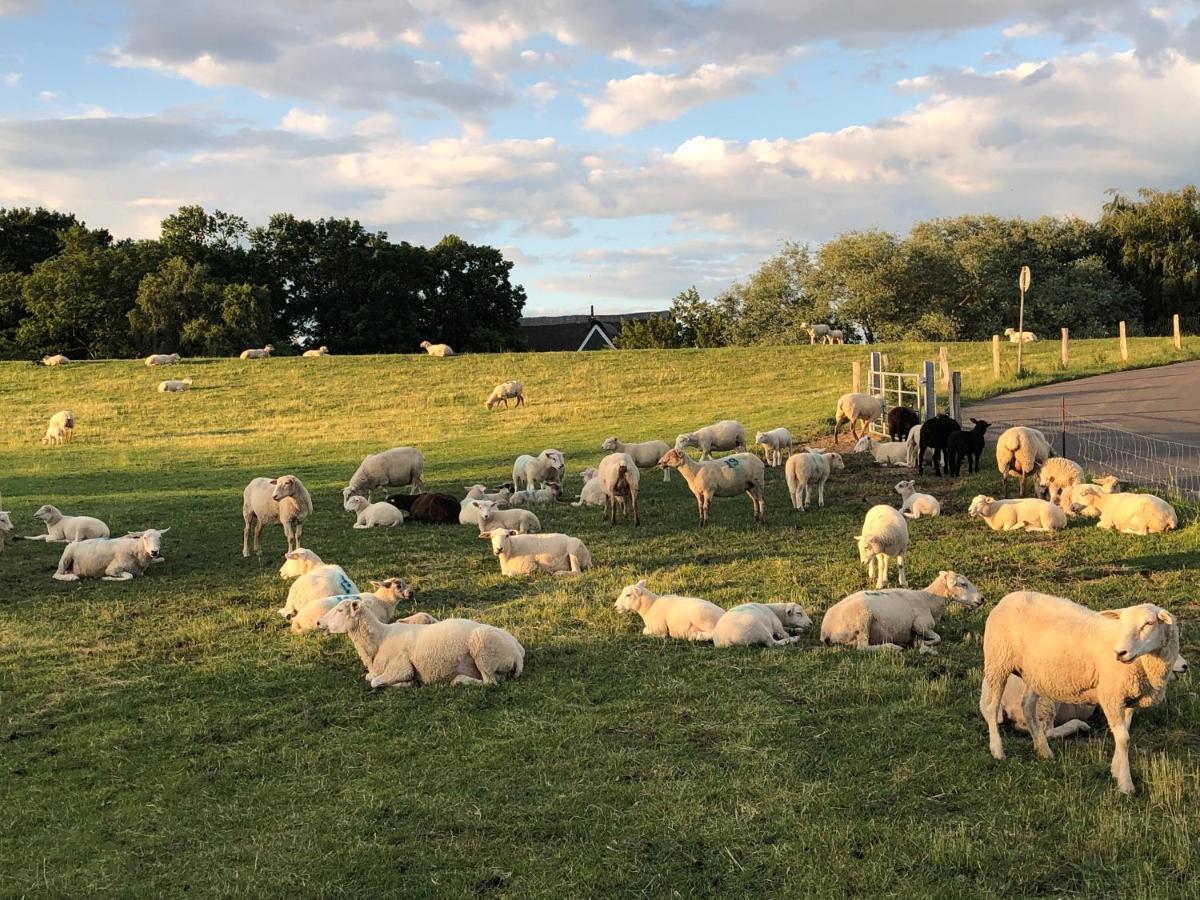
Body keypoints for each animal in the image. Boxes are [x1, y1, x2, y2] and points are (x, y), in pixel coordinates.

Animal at [316, 600, 523, 691]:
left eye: (340, 610)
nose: (318, 622)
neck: (379, 640)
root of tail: (518, 652)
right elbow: (370, 678)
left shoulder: (401, 668)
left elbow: (375, 682)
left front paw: (407, 683)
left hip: (482, 648)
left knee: (490, 682)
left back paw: (459, 680)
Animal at [825, 573, 984, 652]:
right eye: (963, 584)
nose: (982, 598)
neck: (929, 601)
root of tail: (825, 629)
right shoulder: (921, 626)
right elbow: (938, 638)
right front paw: (921, 642)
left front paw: (918, 641)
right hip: (862, 620)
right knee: (862, 647)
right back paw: (893, 647)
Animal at [979, 595, 1185, 792]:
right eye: (1123, 623)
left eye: (1149, 623)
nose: (1120, 653)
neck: (1144, 665)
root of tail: (1007, 598)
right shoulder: (1111, 696)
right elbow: (1124, 739)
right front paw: (1126, 784)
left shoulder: (1127, 699)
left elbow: (1123, 736)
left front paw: (1116, 770)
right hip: (998, 661)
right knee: (992, 708)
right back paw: (997, 750)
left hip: (1035, 674)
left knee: (1027, 707)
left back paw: (1043, 750)